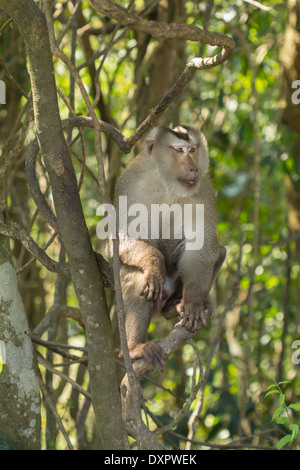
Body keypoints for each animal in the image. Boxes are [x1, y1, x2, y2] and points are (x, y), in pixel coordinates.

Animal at [112, 125, 225, 370]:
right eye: (179, 150)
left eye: (193, 149)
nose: (193, 168)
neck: (168, 185)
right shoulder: (130, 184)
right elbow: (120, 239)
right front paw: (154, 264)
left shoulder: (204, 193)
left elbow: (202, 248)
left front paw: (193, 303)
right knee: (137, 277)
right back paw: (134, 348)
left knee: (219, 252)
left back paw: (175, 306)